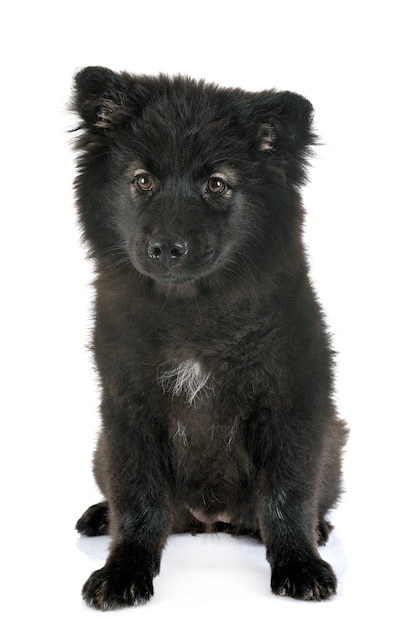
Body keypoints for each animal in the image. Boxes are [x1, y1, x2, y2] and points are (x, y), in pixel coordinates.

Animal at [71, 66, 346, 608]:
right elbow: (136, 498)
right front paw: (123, 572)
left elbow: (286, 494)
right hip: (100, 448)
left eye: (217, 185)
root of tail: (208, 519)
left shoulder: (291, 401)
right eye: (143, 180)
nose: (165, 248)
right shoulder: (129, 407)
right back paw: (98, 516)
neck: (193, 313)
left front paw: (300, 564)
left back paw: (319, 530)